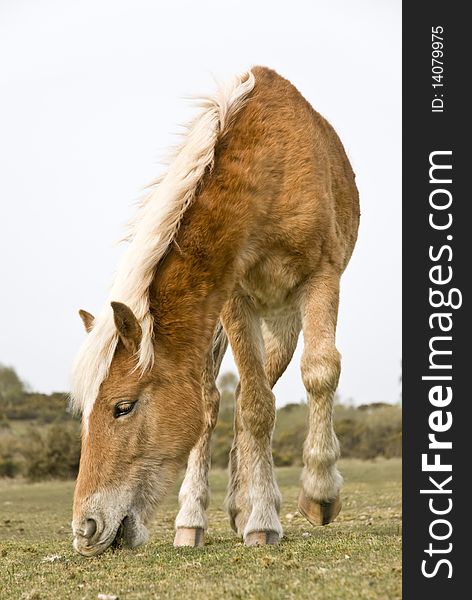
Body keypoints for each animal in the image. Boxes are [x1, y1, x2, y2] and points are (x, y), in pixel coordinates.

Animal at [70, 64, 360, 552]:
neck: (269, 173)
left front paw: (318, 495)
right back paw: (196, 519)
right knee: (218, 405)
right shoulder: (234, 297)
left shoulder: (321, 277)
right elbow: (253, 406)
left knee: (247, 395)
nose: (86, 529)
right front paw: (260, 519)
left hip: (281, 320)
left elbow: (318, 373)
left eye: (122, 407)